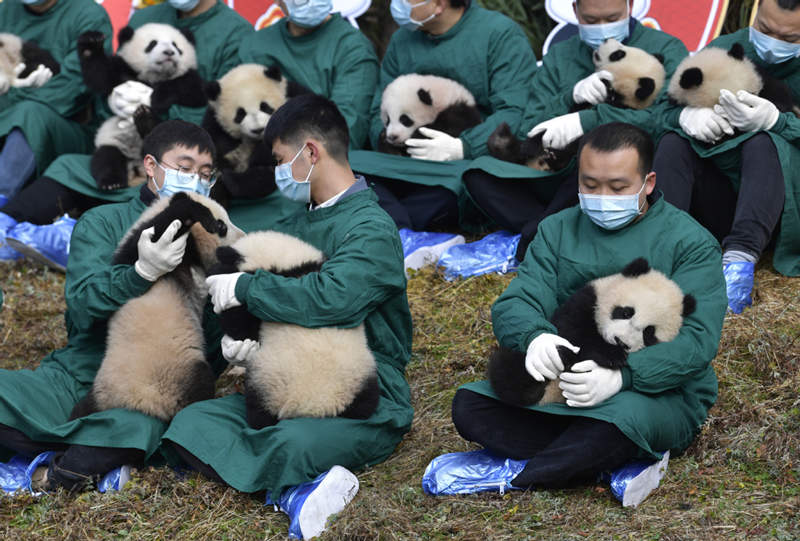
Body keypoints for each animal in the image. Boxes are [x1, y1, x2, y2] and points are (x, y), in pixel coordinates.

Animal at [68, 192, 245, 423]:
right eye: (222, 225)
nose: (242, 238)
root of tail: (140, 403)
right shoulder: (137, 249)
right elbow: (161, 229)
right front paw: (199, 214)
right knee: (201, 383)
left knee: (80, 410)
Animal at [77, 24, 207, 191]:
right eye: (152, 44)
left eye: (176, 46)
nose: (169, 52)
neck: (156, 76)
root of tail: (137, 169)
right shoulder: (123, 71)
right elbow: (100, 75)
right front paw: (91, 41)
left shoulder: (190, 79)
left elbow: (194, 91)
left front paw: (158, 97)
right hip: (112, 141)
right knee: (106, 158)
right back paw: (112, 182)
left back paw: (147, 120)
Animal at [202, 64, 310, 208]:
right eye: (240, 114)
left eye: (265, 107)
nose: (258, 129)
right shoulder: (214, 120)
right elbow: (214, 143)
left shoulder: (294, 95)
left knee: (262, 178)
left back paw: (233, 181)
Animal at [209, 231, 380, 429]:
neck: (289, 264)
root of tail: (312, 407)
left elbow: (241, 326)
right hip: (360, 378)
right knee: (365, 405)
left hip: (267, 378)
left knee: (259, 413)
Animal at [488, 258, 696, 408]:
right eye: (626, 312)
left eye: (649, 333)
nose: (621, 342)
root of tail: (551, 396)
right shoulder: (588, 298)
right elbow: (571, 333)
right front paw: (612, 356)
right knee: (509, 368)